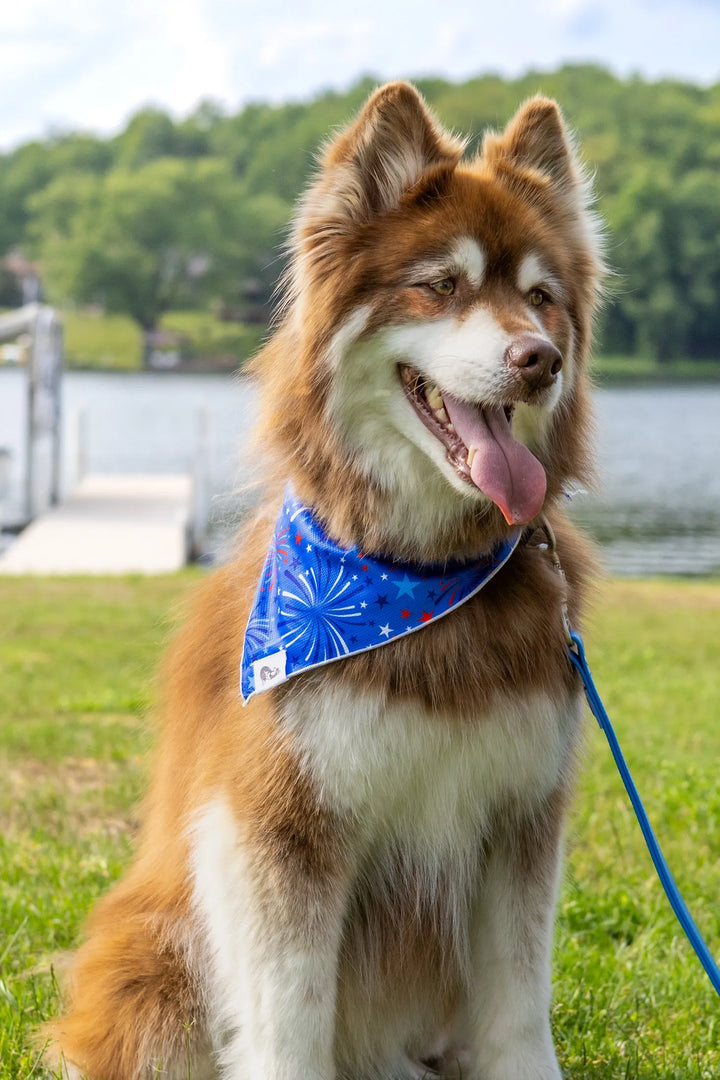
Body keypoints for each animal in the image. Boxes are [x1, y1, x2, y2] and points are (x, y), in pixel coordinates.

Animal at [47, 79, 604, 1075]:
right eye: (444, 284)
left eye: (541, 298)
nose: (537, 360)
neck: (413, 580)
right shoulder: (282, 827)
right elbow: (290, 1019)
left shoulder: (520, 817)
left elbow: (519, 1008)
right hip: (156, 965)